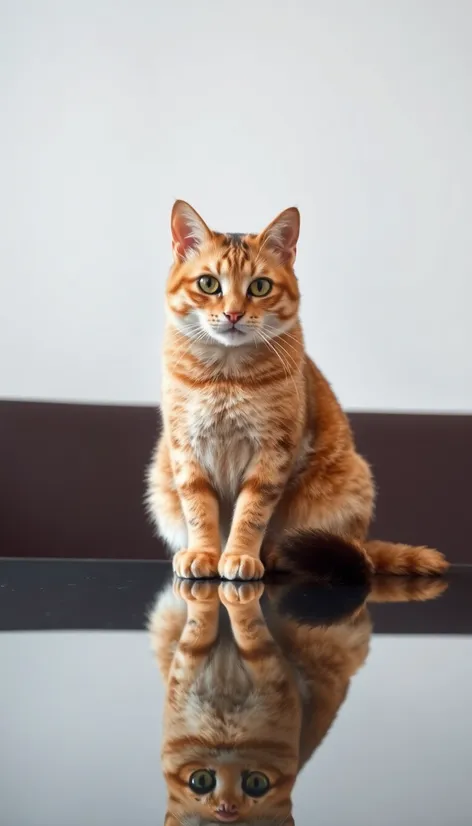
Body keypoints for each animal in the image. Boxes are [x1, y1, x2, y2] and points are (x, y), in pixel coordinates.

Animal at [146, 198, 448, 580]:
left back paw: (278, 555)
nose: (233, 314)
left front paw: (240, 555)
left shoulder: (272, 449)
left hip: (347, 487)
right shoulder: (185, 448)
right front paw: (203, 552)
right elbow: (198, 509)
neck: (226, 377)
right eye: (208, 284)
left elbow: (250, 514)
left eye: (260, 287)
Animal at [150, 572, 446, 824]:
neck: (225, 733)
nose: (226, 808)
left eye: (256, 784)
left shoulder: (266, 658)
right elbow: (201, 623)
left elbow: (248, 625)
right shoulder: (189, 655)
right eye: (201, 781)